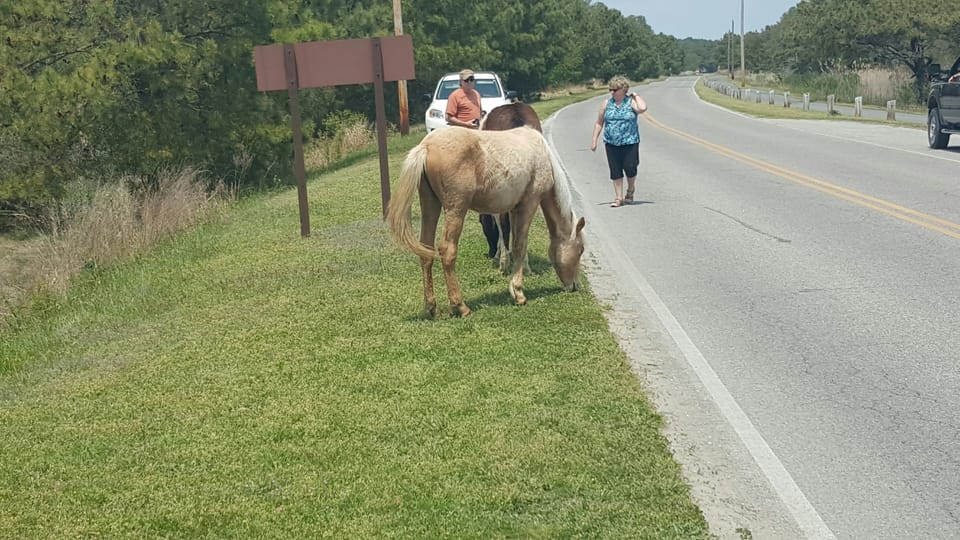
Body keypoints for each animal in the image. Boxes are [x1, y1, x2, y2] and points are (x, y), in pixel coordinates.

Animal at [386, 126, 585, 318]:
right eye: (581, 250)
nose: (574, 286)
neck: (543, 154)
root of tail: (426, 146)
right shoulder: (529, 204)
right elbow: (519, 246)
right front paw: (518, 293)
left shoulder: (513, 209)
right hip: (456, 209)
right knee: (447, 250)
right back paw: (460, 306)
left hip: (430, 203)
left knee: (426, 250)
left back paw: (433, 308)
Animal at [478, 103, 543, 272]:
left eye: (482, 224)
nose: (489, 252)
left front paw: (499, 255)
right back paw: (524, 265)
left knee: (503, 221)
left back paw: (503, 263)